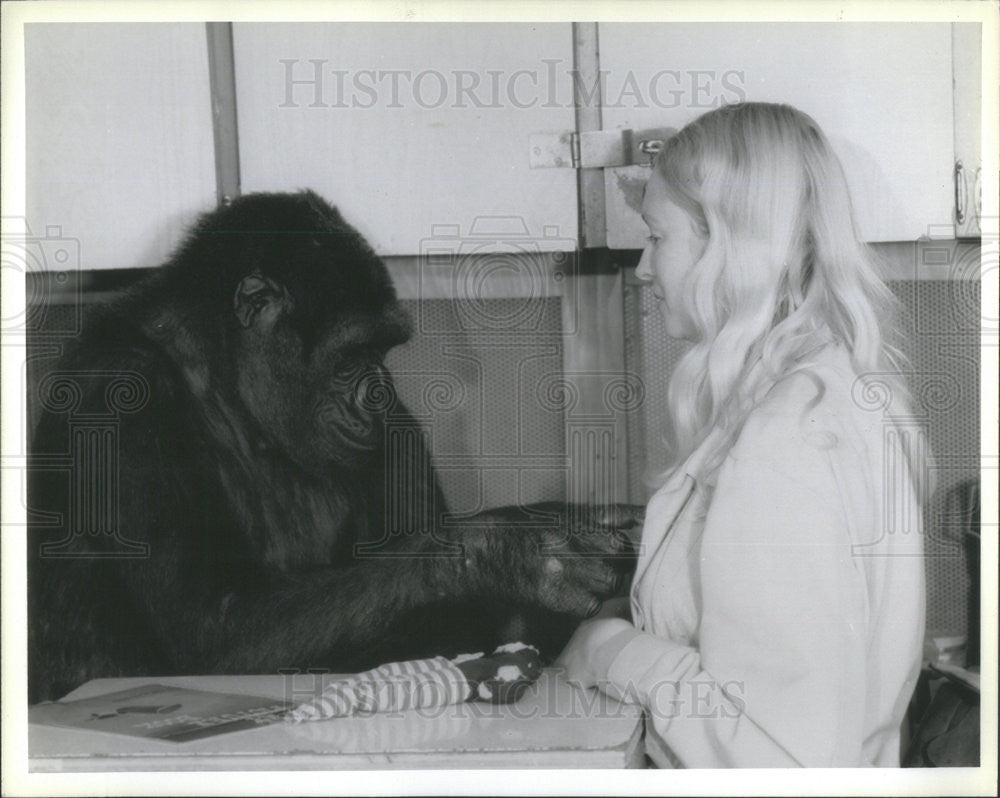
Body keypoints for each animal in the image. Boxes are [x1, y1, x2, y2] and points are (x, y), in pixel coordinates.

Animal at [31, 191, 640, 704]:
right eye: (351, 355)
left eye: (385, 349)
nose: (376, 387)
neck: (229, 387)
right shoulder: (120, 403)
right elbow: (208, 626)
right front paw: (515, 550)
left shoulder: (395, 423)